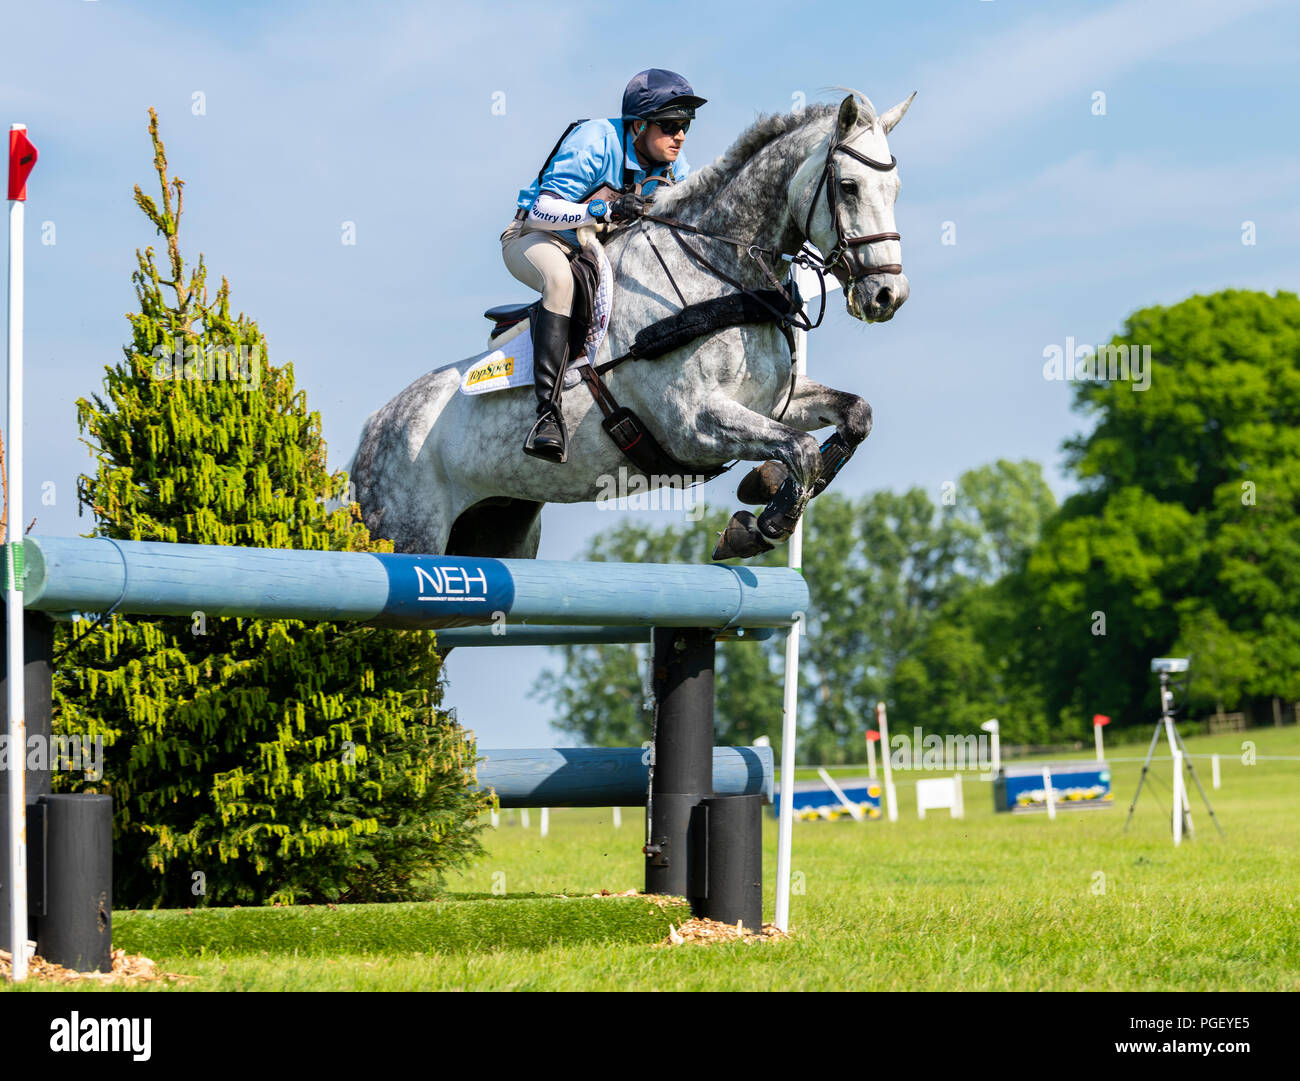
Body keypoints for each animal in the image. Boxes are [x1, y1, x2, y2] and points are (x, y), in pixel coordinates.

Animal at [347, 90, 913, 562]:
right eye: (848, 186)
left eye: (896, 190)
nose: (889, 296)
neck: (717, 268)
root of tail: (372, 429)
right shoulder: (693, 424)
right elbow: (800, 450)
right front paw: (758, 528)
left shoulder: (772, 403)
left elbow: (853, 417)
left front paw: (765, 488)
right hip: (406, 533)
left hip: (499, 532)